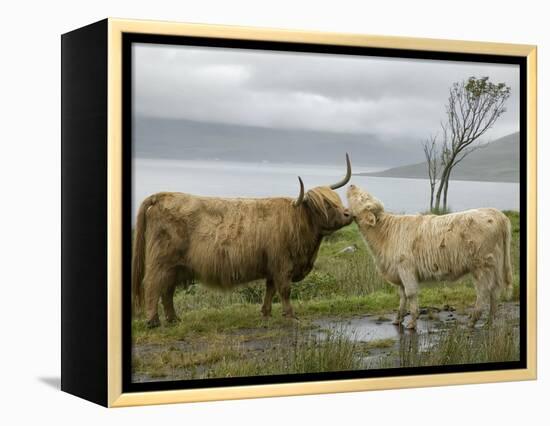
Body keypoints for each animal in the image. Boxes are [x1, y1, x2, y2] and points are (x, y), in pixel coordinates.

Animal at [136, 155, 356, 328]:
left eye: (336, 199)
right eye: (325, 205)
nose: (349, 214)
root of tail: (163, 195)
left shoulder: (272, 265)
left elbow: (270, 289)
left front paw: (266, 313)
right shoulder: (282, 264)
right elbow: (284, 290)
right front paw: (291, 316)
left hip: (176, 266)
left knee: (167, 291)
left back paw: (174, 319)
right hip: (162, 261)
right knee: (153, 286)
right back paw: (153, 321)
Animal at [348, 184, 516, 330]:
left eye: (363, 197)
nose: (351, 185)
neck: (384, 234)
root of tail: (496, 213)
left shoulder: (406, 268)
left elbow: (410, 294)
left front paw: (412, 323)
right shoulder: (398, 272)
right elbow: (402, 296)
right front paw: (398, 320)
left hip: (481, 266)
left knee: (483, 292)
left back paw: (472, 322)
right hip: (495, 265)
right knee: (495, 290)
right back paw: (489, 321)